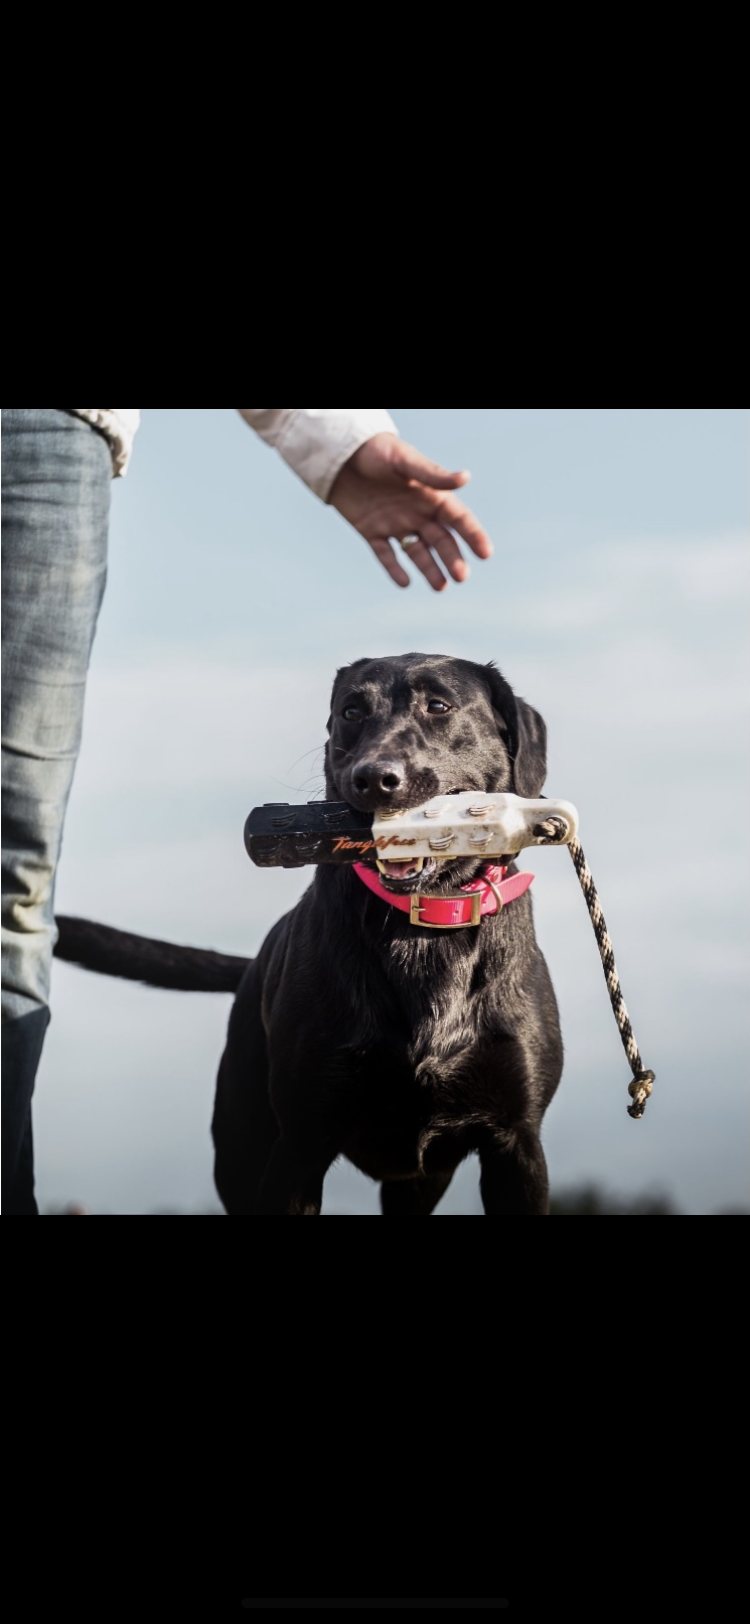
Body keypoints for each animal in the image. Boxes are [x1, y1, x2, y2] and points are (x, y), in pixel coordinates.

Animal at [57, 652, 561, 1214]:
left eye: (439, 706)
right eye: (351, 711)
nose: (373, 778)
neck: (424, 925)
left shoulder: (515, 1145)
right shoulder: (300, 1144)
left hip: (418, 1180)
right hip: (242, 1147)